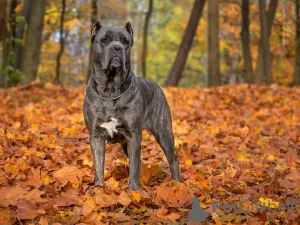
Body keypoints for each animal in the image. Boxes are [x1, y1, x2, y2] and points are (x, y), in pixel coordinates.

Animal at [83, 21, 179, 190]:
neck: (110, 90)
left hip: (164, 133)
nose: (117, 48)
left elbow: (134, 166)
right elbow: (99, 165)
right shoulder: (96, 136)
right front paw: (98, 187)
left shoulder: (133, 135)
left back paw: (177, 183)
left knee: (173, 160)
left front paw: (133, 190)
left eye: (125, 41)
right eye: (104, 40)